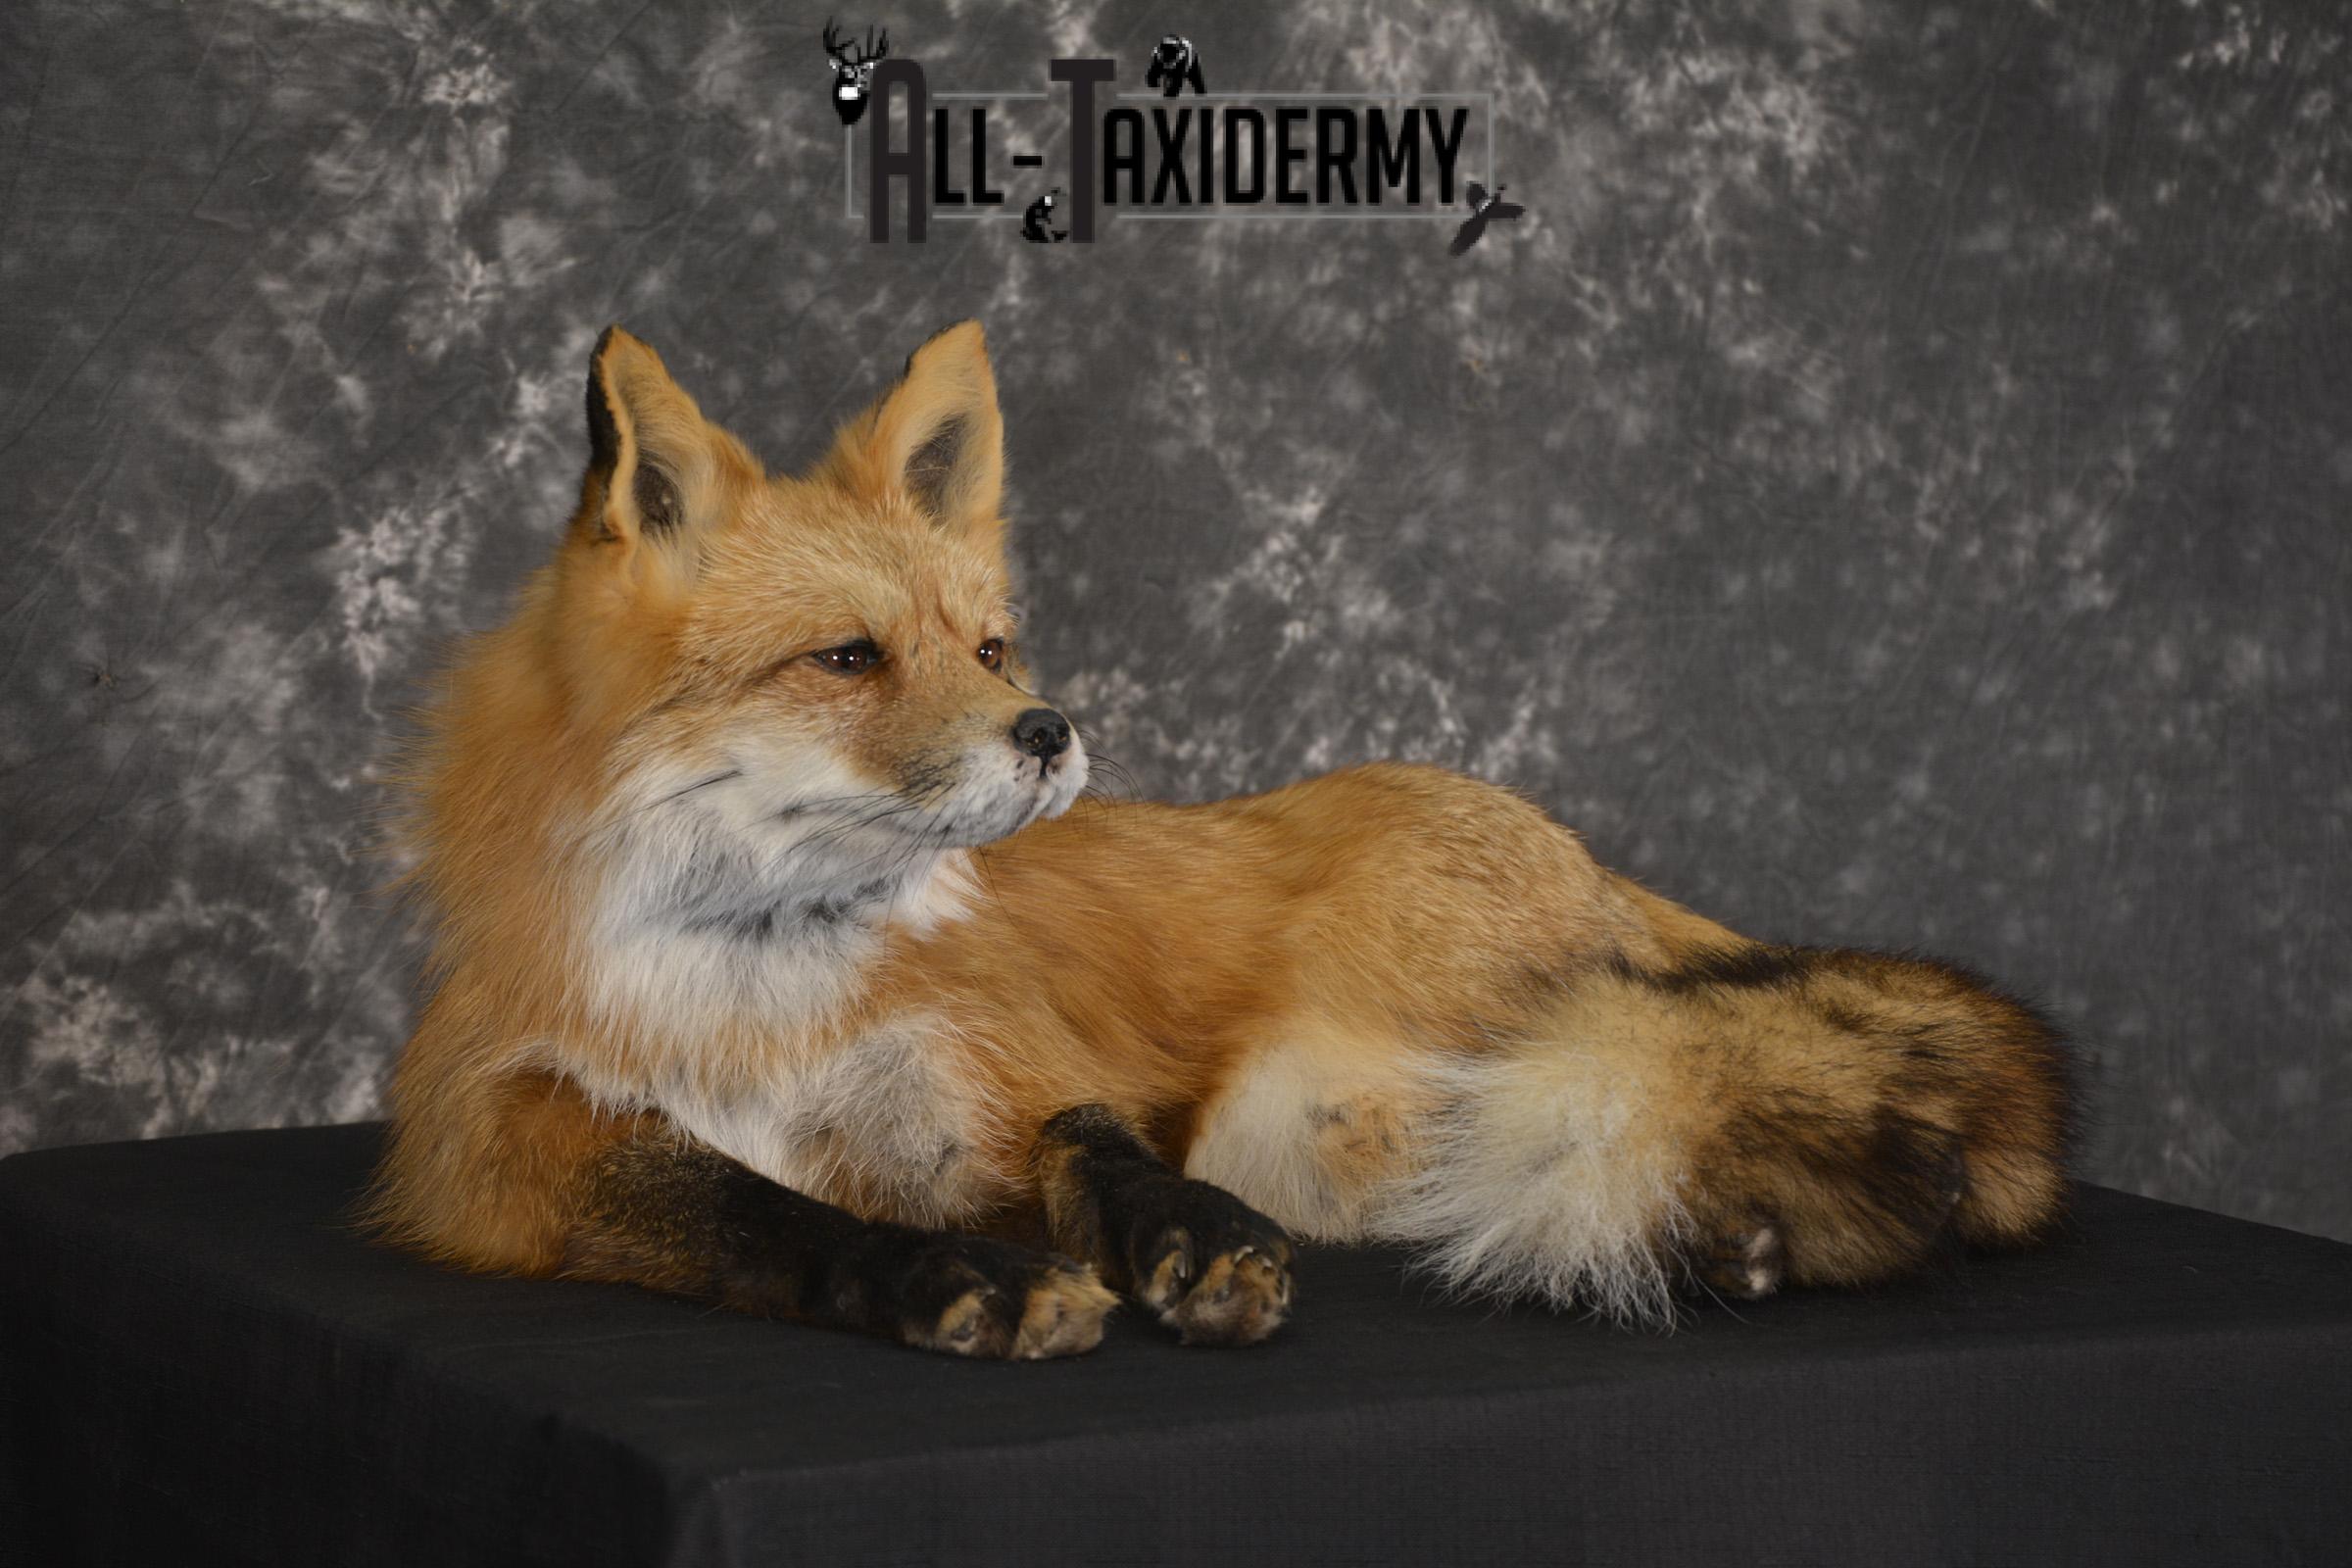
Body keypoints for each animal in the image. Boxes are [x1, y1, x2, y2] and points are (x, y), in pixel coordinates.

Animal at [366, 320, 2072, 1359]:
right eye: (848, 658)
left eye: (989, 648)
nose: (1049, 729)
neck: (761, 997)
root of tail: (1552, 832)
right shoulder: (506, 1154)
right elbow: (760, 1210)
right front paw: (954, 1278)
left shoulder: (999, 1076)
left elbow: (1093, 1139)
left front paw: (1176, 1241)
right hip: (1358, 1124)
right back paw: (1759, 1242)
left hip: (1392, 1084)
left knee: (1742, 1096)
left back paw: (1819, 1214)